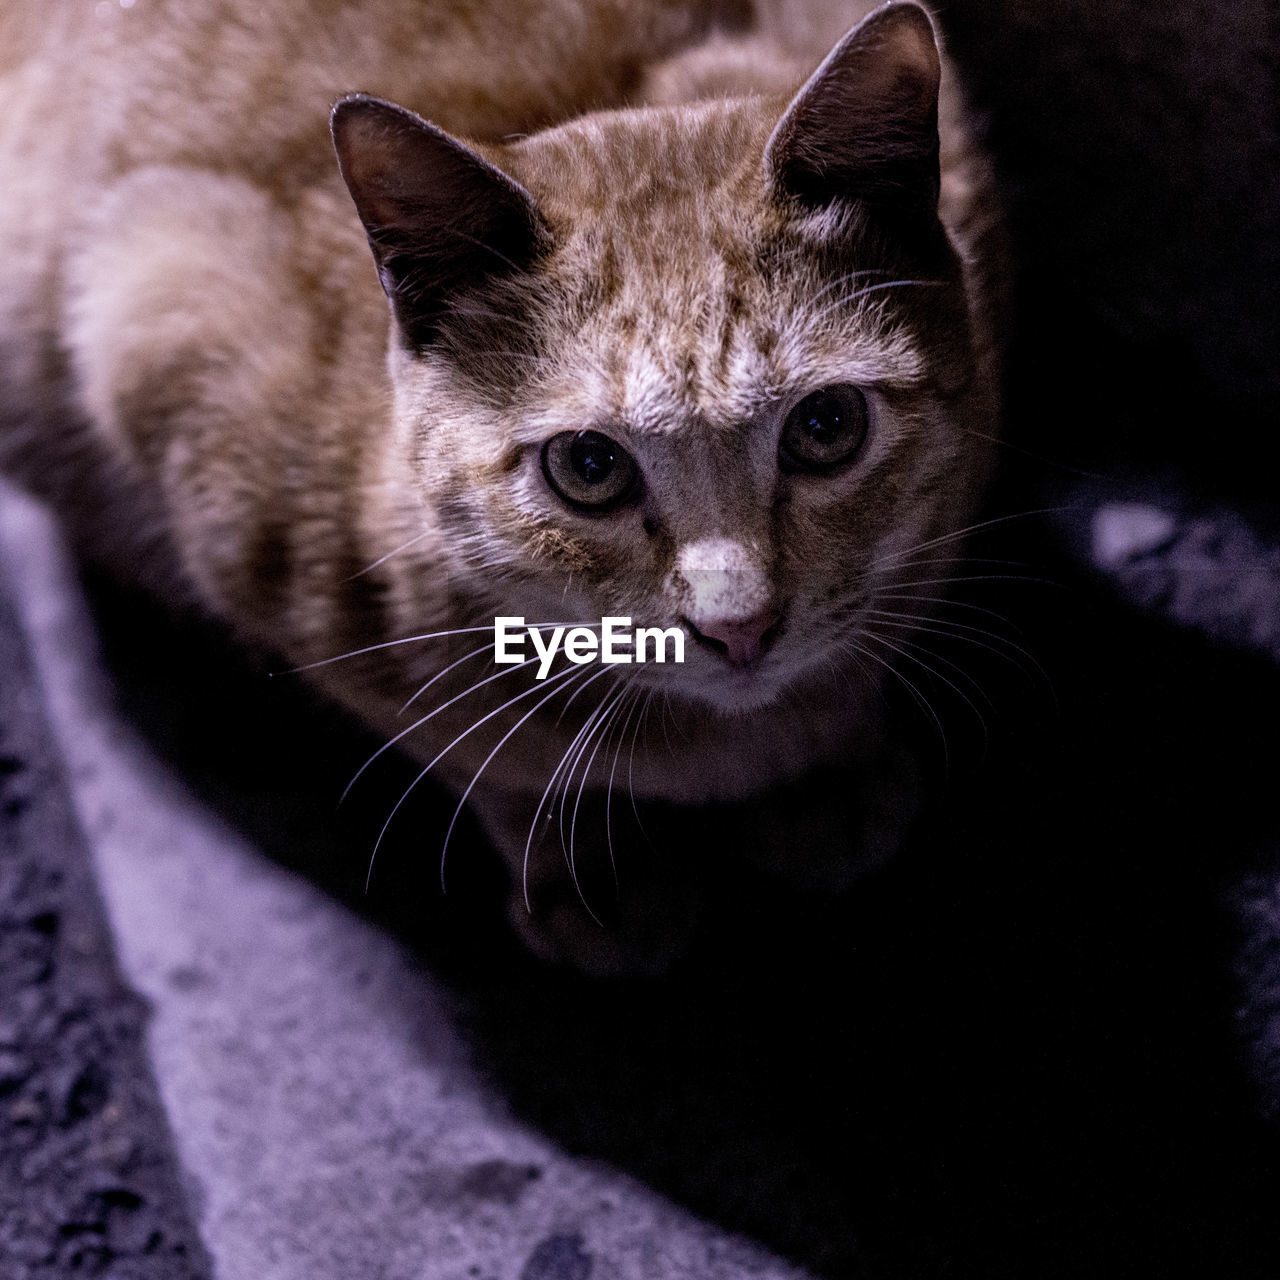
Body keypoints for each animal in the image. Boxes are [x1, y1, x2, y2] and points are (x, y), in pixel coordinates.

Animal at [0, 0, 998, 967]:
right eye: (589, 466)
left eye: (826, 427)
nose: (738, 627)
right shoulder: (162, 332)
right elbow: (487, 756)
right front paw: (590, 873)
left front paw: (830, 775)